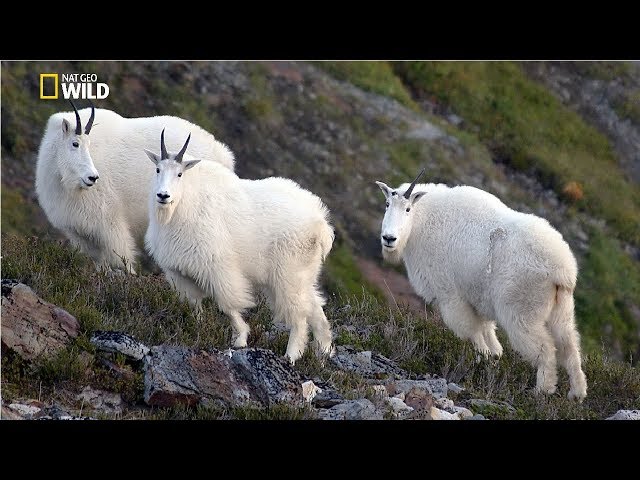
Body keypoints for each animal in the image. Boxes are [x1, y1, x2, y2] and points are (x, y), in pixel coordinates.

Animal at [35, 101, 235, 274]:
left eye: (89, 145)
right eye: (75, 143)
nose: (92, 177)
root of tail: (225, 157)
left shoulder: (108, 221)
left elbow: (120, 257)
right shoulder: (81, 232)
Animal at [144, 131, 336, 364]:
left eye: (180, 174)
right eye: (157, 169)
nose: (163, 196)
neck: (182, 204)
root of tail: (321, 224)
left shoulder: (218, 268)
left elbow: (228, 305)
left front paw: (241, 339)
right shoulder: (181, 272)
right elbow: (195, 305)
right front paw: (199, 328)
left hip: (288, 275)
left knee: (298, 316)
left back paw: (290, 356)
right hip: (300, 277)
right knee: (315, 308)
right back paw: (324, 353)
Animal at [376, 170, 592, 402]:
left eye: (407, 209)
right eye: (387, 204)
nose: (389, 238)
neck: (421, 221)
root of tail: (562, 268)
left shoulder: (450, 295)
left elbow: (471, 331)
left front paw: (481, 361)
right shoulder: (478, 298)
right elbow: (487, 331)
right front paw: (493, 358)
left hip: (521, 309)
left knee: (545, 349)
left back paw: (542, 390)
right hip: (562, 307)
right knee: (569, 345)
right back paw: (577, 394)